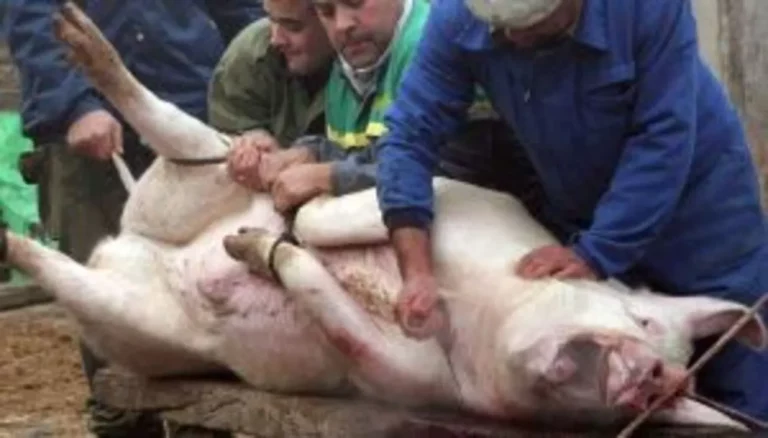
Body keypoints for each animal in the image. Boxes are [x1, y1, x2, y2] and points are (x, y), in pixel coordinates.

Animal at [2, 2, 766, 432]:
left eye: (661, 403)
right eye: (645, 322)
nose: (651, 379)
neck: (480, 305)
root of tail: (127, 239)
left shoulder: (414, 381)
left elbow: (337, 315)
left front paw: (254, 248)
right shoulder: (471, 201)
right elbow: (340, 217)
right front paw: (284, 217)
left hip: (139, 324)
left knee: (65, 268)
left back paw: (19, 236)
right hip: (205, 168)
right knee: (169, 123)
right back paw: (77, 35)